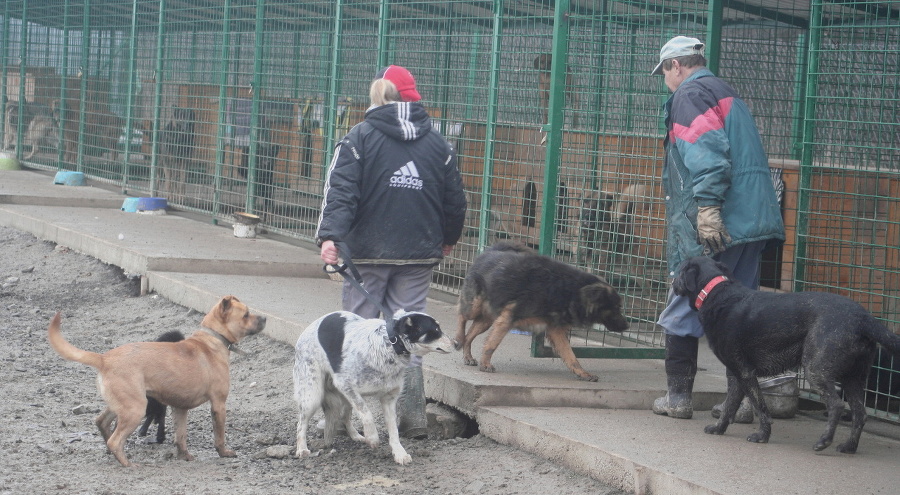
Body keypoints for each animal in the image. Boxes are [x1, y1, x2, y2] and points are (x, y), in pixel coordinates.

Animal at [47, 296, 264, 466]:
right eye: (246, 314)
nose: (265, 318)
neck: (212, 339)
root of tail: (104, 358)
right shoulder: (218, 404)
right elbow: (219, 435)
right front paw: (224, 453)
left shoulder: (180, 408)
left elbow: (180, 436)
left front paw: (184, 455)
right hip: (136, 409)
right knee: (115, 440)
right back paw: (127, 463)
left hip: (122, 404)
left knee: (102, 422)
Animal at [292, 310, 454, 464]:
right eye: (436, 330)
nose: (456, 343)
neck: (390, 344)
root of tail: (307, 330)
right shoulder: (345, 384)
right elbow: (367, 414)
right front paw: (373, 437)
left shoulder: (389, 399)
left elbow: (393, 430)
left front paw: (399, 453)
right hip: (313, 395)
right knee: (301, 424)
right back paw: (302, 449)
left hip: (344, 398)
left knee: (345, 416)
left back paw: (356, 436)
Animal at [458, 242, 624, 382]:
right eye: (616, 308)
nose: (626, 326)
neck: (570, 291)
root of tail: (491, 250)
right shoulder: (507, 319)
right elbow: (492, 344)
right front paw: (485, 364)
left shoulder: (556, 331)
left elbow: (571, 356)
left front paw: (583, 373)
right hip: (474, 306)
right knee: (461, 315)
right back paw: (458, 339)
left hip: (487, 318)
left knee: (470, 334)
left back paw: (467, 355)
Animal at [676, 256, 900, 454]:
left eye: (679, 269)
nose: (672, 279)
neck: (715, 293)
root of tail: (863, 317)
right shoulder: (737, 374)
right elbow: (730, 406)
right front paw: (719, 429)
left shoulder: (745, 372)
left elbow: (760, 406)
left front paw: (762, 436)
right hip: (852, 378)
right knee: (860, 414)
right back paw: (849, 447)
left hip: (815, 371)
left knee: (836, 404)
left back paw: (824, 441)